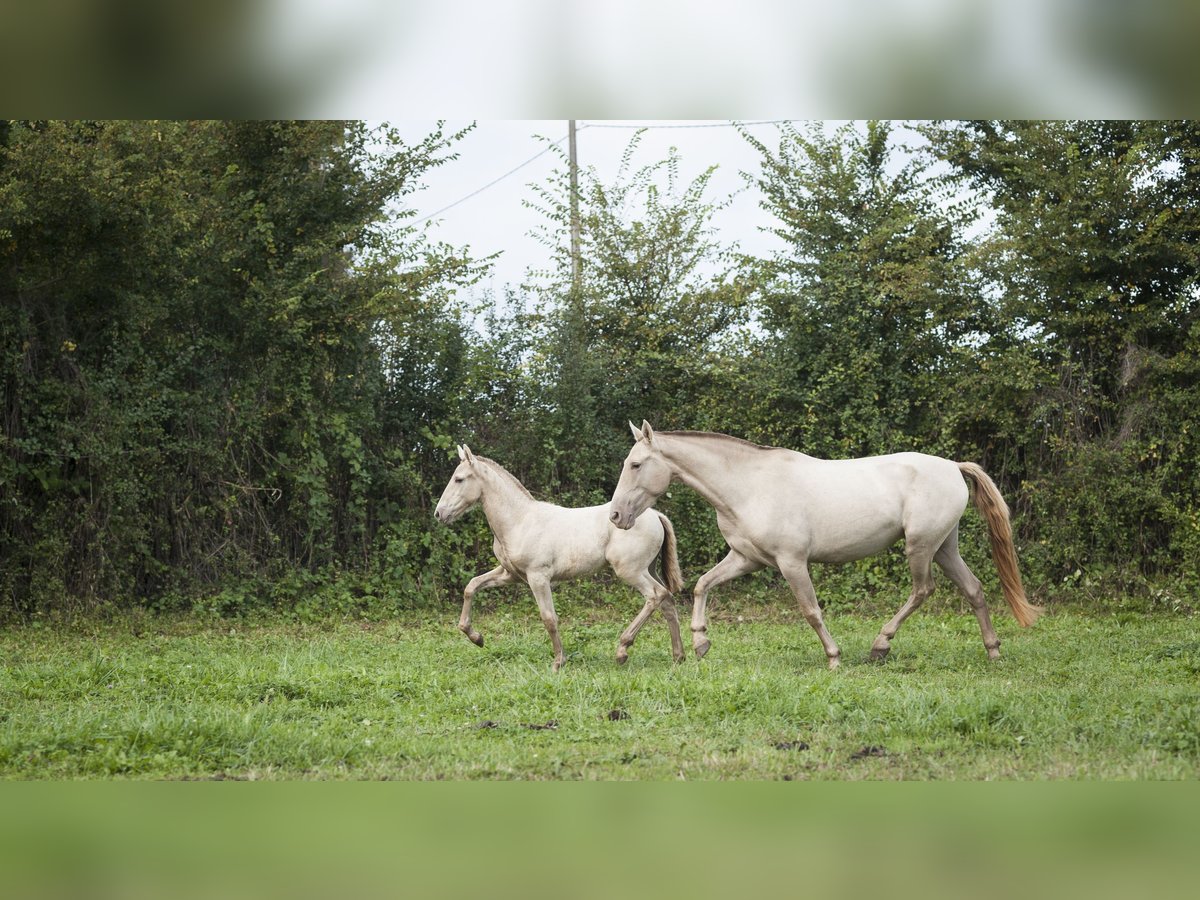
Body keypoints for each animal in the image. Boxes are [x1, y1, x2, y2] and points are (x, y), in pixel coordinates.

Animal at [434, 448, 686, 672]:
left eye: (459, 479)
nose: (439, 513)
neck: (520, 521)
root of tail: (656, 515)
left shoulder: (538, 577)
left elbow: (549, 618)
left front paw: (558, 662)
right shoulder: (510, 575)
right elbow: (471, 586)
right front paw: (476, 637)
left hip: (630, 571)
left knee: (655, 596)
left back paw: (623, 650)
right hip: (648, 569)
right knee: (667, 601)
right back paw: (678, 656)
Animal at [609, 422, 1041, 672]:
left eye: (635, 464)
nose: (615, 516)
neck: (749, 485)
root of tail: (953, 466)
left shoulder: (791, 562)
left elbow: (811, 611)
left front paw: (834, 658)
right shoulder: (747, 558)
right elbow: (702, 584)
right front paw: (700, 643)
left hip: (921, 547)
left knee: (923, 590)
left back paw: (880, 646)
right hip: (944, 547)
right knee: (973, 590)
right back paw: (993, 652)